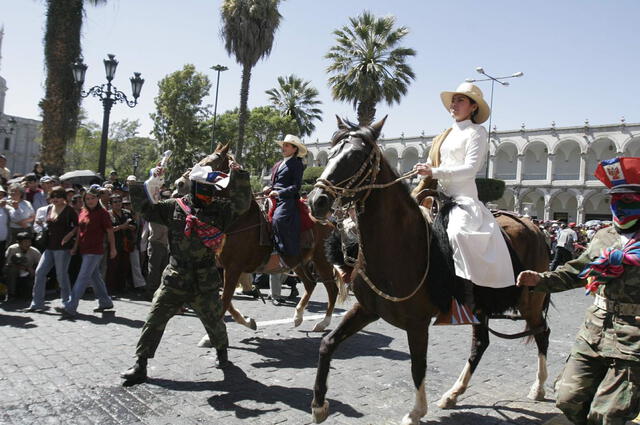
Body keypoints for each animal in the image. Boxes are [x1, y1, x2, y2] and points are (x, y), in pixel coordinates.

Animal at [174, 145, 344, 332]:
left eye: (211, 161)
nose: (179, 183)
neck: (238, 218)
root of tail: (330, 222)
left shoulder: (233, 268)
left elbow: (224, 301)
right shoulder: (224, 268)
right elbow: (225, 301)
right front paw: (248, 321)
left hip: (322, 261)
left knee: (332, 289)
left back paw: (323, 323)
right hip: (297, 261)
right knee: (310, 283)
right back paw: (298, 316)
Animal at [306, 117, 552, 424]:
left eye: (356, 156)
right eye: (330, 154)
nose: (316, 200)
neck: (400, 245)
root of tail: (534, 226)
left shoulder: (417, 323)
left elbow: (418, 365)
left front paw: (416, 411)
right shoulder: (367, 309)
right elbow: (327, 344)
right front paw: (319, 404)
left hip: (530, 302)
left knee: (542, 333)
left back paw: (538, 387)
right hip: (481, 308)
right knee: (481, 344)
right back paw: (454, 393)